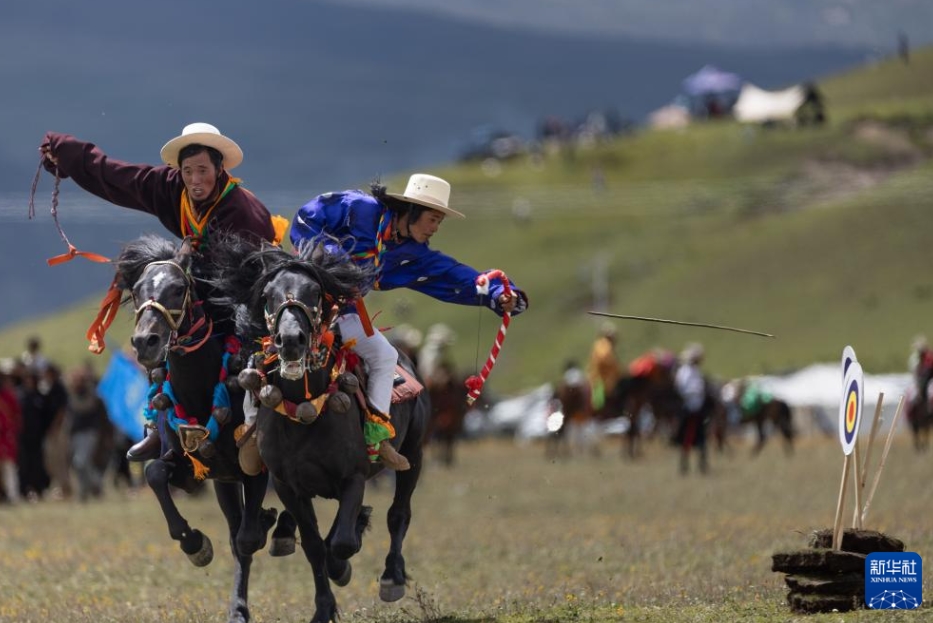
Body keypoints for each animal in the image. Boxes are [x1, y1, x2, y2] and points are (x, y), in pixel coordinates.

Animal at [112, 236, 276, 623]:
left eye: (178, 288)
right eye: (138, 290)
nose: (146, 341)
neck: (202, 390)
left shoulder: (255, 468)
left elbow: (248, 539)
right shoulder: (190, 468)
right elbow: (155, 473)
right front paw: (194, 543)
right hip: (224, 483)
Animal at [210, 236, 430, 623]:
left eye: (314, 292)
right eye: (268, 295)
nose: (291, 340)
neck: (305, 411)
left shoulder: (353, 476)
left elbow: (341, 543)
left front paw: (343, 565)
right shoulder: (288, 485)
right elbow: (315, 545)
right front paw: (324, 606)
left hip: (413, 453)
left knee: (399, 513)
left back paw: (392, 576)